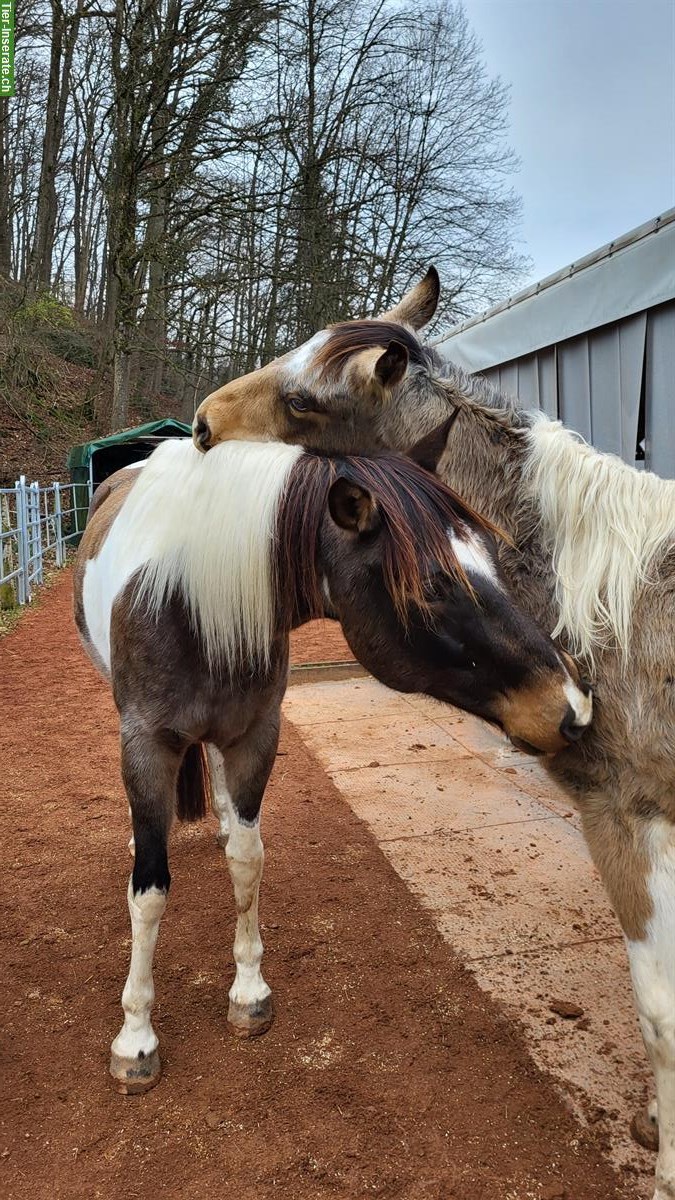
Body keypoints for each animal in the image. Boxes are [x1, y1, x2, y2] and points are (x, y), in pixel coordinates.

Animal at [74, 434, 588, 1099]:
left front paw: (248, 992)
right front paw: (136, 1035)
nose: (572, 710)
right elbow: (149, 892)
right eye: (431, 587)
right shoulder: (143, 746)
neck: (189, 600)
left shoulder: (256, 735)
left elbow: (247, 861)